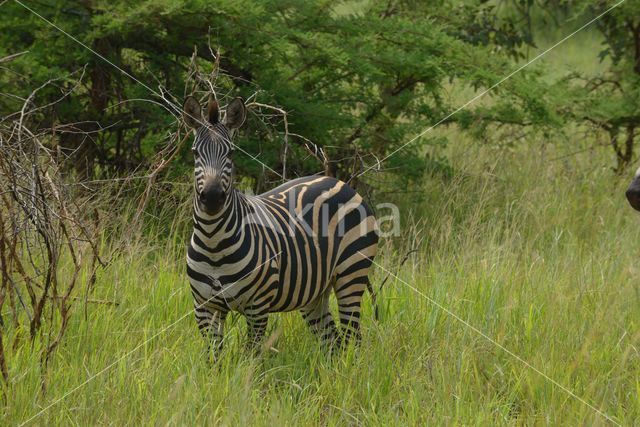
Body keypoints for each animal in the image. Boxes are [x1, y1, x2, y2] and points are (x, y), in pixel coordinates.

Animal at [182, 97, 378, 358]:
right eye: (195, 152)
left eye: (231, 153)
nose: (213, 198)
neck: (214, 243)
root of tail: (337, 182)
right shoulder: (204, 308)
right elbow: (214, 359)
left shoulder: (257, 307)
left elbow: (251, 357)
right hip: (315, 292)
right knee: (332, 343)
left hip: (352, 273)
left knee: (352, 339)